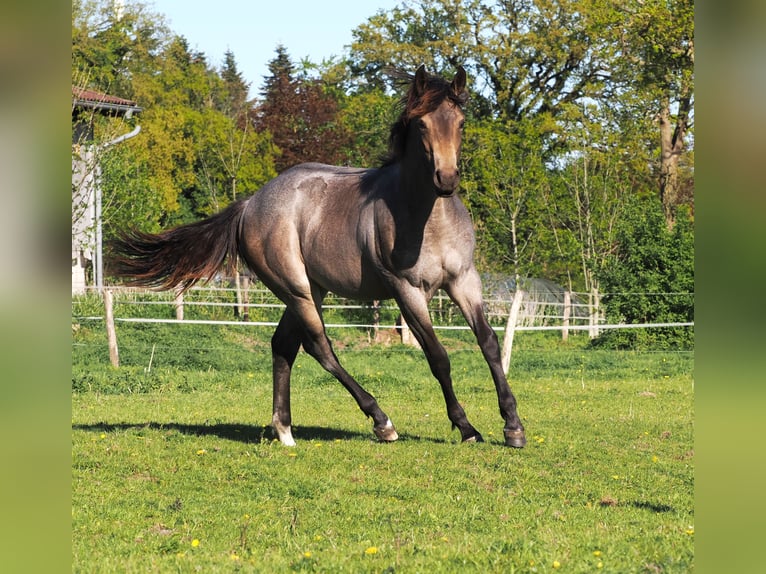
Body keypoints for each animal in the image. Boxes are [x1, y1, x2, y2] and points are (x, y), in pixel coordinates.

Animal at [108, 66, 526, 448]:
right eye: (421, 125)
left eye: (461, 122)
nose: (446, 179)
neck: (427, 218)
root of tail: (250, 204)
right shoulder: (407, 291)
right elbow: (438, 356)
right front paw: (467, 428)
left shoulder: (464, 280)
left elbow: (489, 343)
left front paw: (513, 427)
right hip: (296, 289)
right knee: (318, 347)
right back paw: (381, 422)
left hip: (311, 289)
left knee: (283, 345)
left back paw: (284, 431)